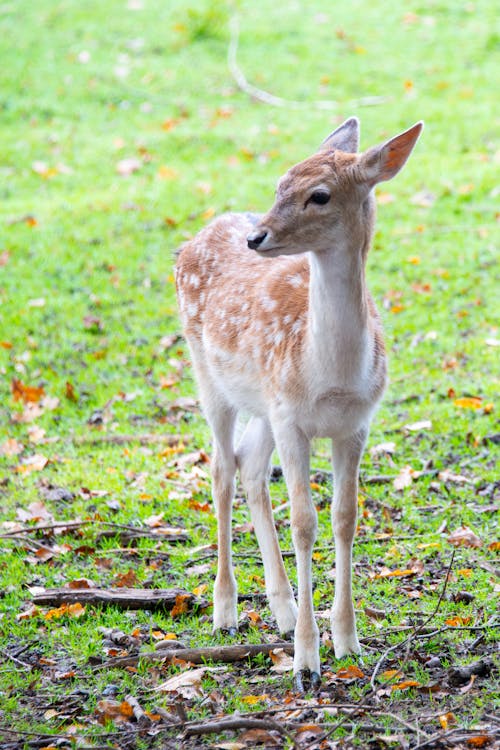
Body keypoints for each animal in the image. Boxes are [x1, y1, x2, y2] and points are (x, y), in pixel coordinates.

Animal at [174, 119, 424, 692]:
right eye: (278, 184)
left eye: (320, 195)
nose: (257, 237)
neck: (330, 375)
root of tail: (191, 241)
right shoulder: (292, 420)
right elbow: (304, 523)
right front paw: (307, 662)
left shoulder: (354, 423)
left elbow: (345, 518)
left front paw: (348, 642)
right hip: (206, 369)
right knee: (220, 468)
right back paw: (226, 611)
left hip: (265, 405)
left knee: (248, 464)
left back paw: (283, 610)